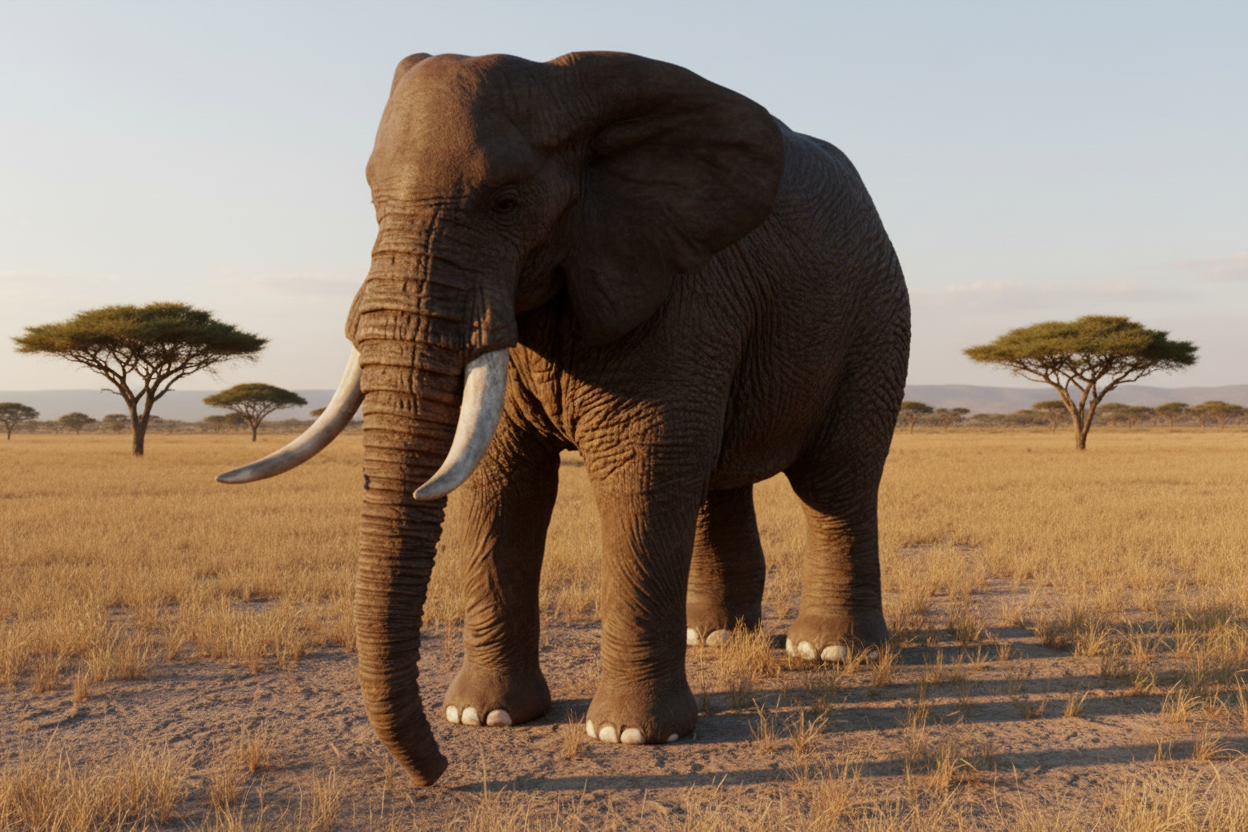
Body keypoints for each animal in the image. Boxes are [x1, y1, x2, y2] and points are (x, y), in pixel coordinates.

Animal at [219, 51, 909, 787]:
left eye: (507, 203)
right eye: (375, 202)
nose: (435, 772)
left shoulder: (677, 292)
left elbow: (641, 477)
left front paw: (629, 735)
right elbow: (501, 482)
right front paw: (483, 717)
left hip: (875, 315)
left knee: (834, 478)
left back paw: (828, 653)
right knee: (715, 485)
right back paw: (716, 636)